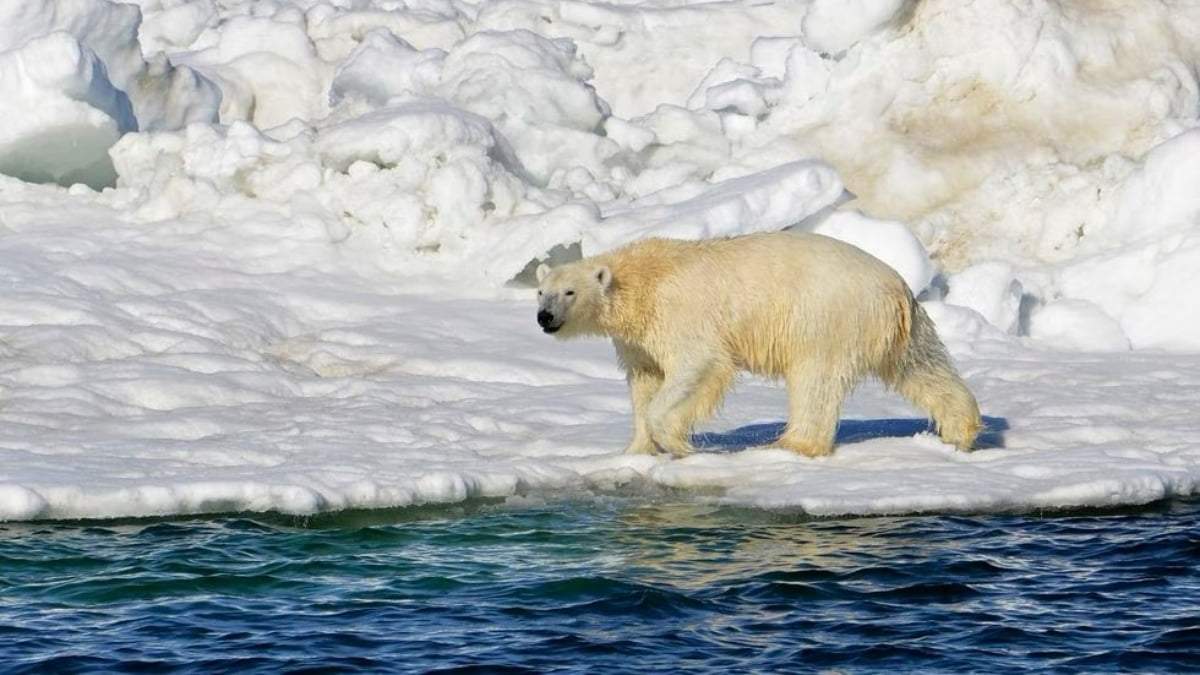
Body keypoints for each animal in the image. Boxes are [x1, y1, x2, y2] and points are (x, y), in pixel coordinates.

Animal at [535, 231, 981, 458]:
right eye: (541, 292)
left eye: (569, 292)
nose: (545, 318)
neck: (642, 280)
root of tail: (895, 287)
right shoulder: (638, 340)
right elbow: (645, 382)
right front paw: (636, 450)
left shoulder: (680, 314)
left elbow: (697, 366)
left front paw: (677, 443)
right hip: (899, 328)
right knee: (922, 367)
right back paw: (960, 431)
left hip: (825, 316)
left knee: (814, 380)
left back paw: (791, 444)